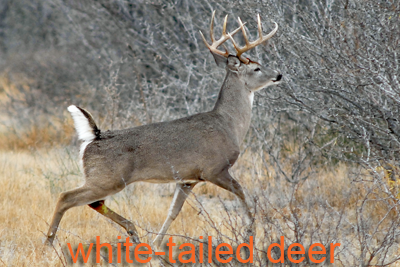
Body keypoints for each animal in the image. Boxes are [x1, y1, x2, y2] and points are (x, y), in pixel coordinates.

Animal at [46, 12, 282, 247]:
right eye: (256, 68)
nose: (279, 75)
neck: (229, 125)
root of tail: (94, 136)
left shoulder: (187, 179)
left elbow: (173, 212)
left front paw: (156, 244)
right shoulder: (214, 169)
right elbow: (243, 194)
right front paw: (250, 232)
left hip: (104, 179)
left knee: (93, 203)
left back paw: (133, 231)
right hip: (107, 178)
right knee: (66, 197)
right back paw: (49, 243)